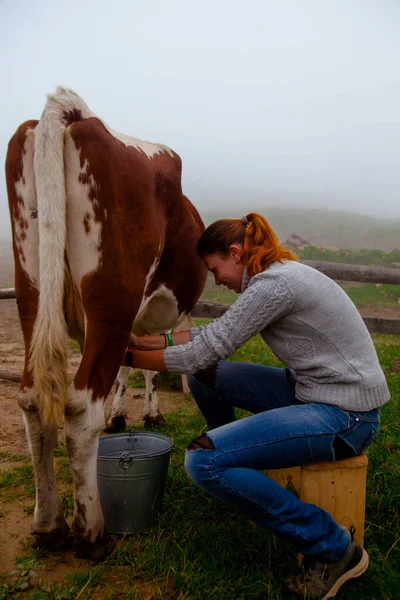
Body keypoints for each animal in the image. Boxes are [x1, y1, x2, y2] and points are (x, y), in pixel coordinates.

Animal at [5, 86, 206, 560]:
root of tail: (77, 114)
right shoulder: (160, 316)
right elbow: (148, 367)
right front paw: (146, 414)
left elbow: (131, 368)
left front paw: (123, 415)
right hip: (112, 301)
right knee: (80, 408)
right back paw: (91, 534)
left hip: (32, 289)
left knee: (33, 401)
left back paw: (49, 526)